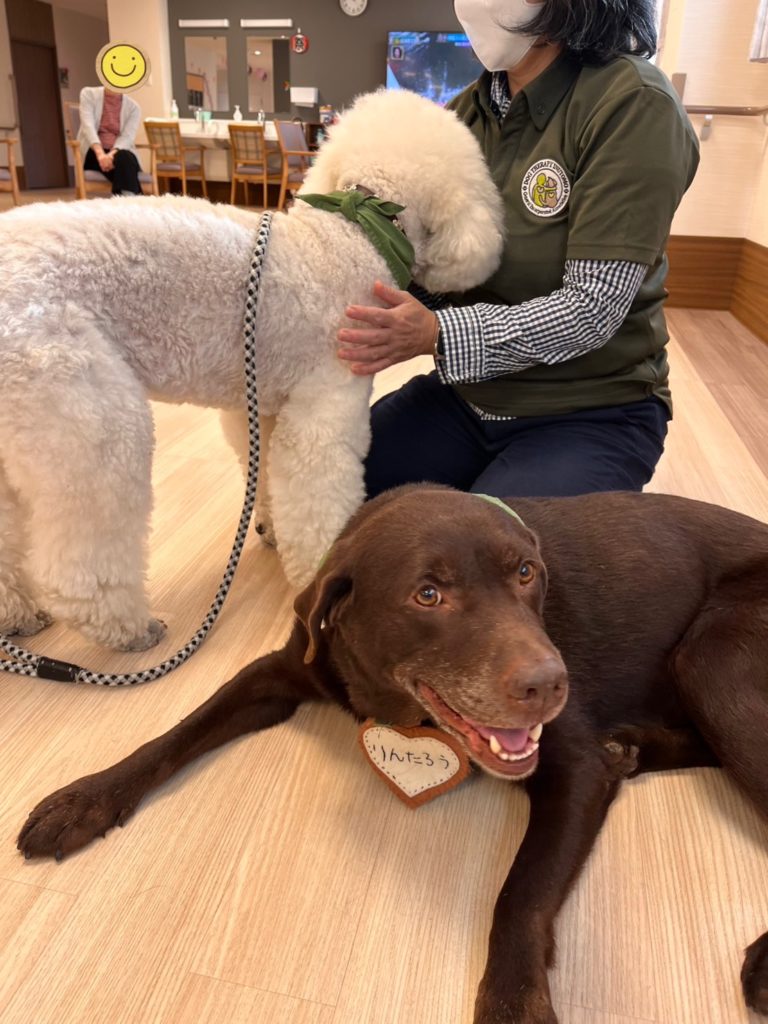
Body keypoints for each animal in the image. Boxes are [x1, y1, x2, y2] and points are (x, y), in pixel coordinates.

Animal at [0, 89, 503, 651]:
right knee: (81, 558)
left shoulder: (257, 406)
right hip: (89, 414)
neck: (356, 231)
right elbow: (319, 495)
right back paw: (125, 627)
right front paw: (326, 575)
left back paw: (17, 614)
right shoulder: (323, 415)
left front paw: (269, 528)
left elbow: (263, 474)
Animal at [17, 485, 768, 1022]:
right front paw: (82, 800)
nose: (549, 684)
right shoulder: (279, 674)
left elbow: (520, 894)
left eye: (527, 573)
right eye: (427, 593)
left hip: (714, 657)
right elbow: (175, 732)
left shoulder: (576, 767)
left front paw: (511, 1004)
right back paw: (635, 745)